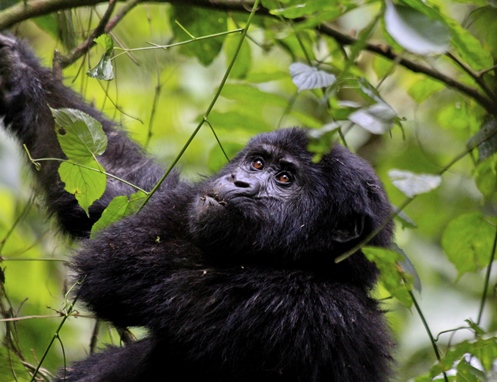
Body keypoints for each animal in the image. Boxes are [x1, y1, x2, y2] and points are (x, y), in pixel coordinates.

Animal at [0, 34, 394, 380]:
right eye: (257, 163)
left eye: (285, 178)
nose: (239, 181)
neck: (317, 266)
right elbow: (122, 187)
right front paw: (17, 68)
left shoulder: (298, 308)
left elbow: (121, 260)